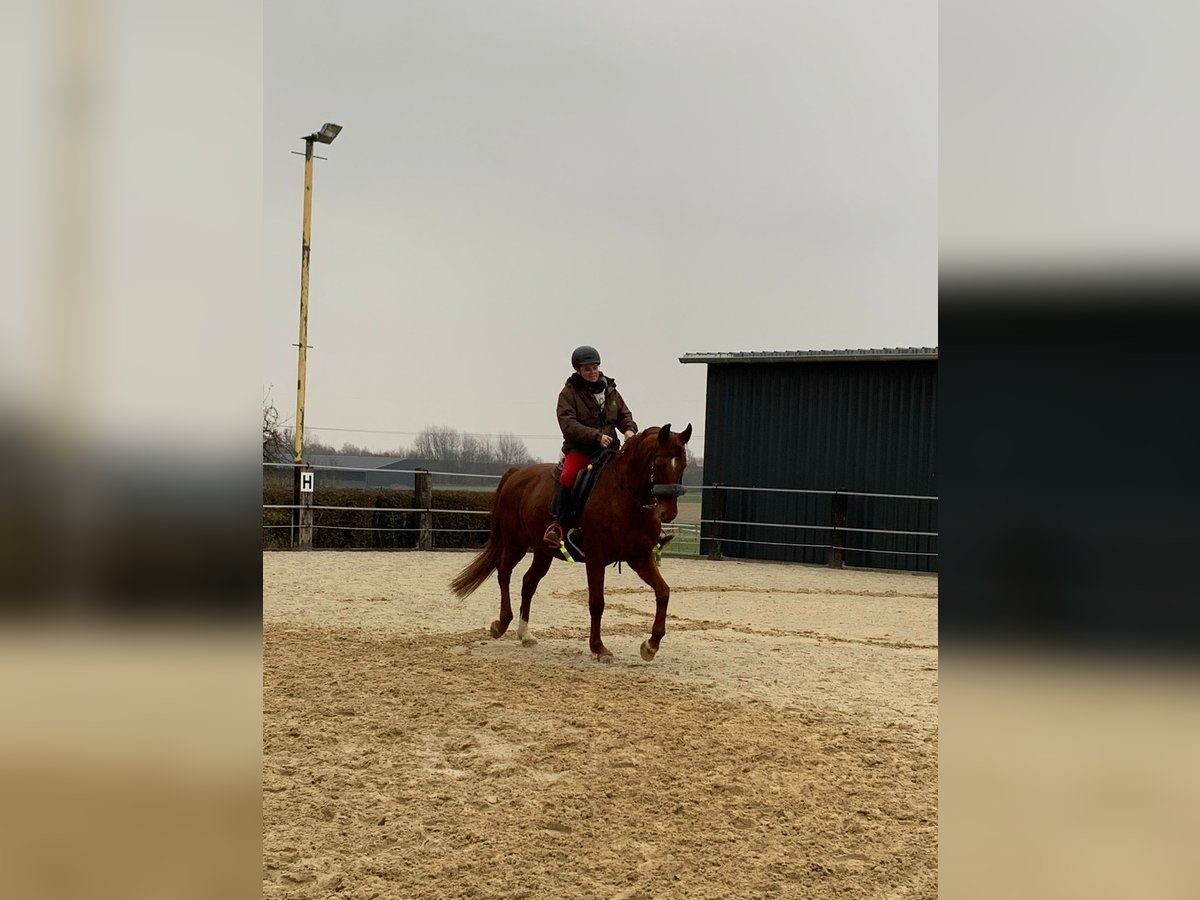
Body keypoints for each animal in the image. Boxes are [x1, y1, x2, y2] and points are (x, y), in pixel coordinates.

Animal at [451, 422, 696, 662]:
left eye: (683, 464)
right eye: (660, 463)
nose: (668, 513)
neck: (624, 497)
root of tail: (517, 472)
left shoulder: (640, 557)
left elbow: (663, 592)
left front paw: (651, 645)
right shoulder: (596, 558)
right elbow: (597, 602)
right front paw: (598, 648)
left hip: (543, 552)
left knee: (528, 583)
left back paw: (525, 634)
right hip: (515, 543)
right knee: (503, 573)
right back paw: (501, 624)